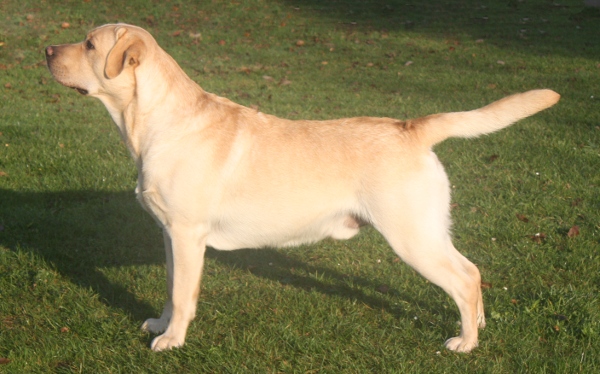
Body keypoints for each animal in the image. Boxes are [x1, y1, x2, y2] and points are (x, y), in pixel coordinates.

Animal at [44, 23, 560, 350]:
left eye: (89, 44)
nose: (46, 51)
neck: (156, 122)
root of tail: (411, 128)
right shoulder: (171, 235)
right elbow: (173, 288)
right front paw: (161, 325)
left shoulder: (188, 235)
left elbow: (184, 293)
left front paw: (172, 341)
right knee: (472, 275)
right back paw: (479, 325)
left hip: (413, 236)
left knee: (466, 276)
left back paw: (466, 342)